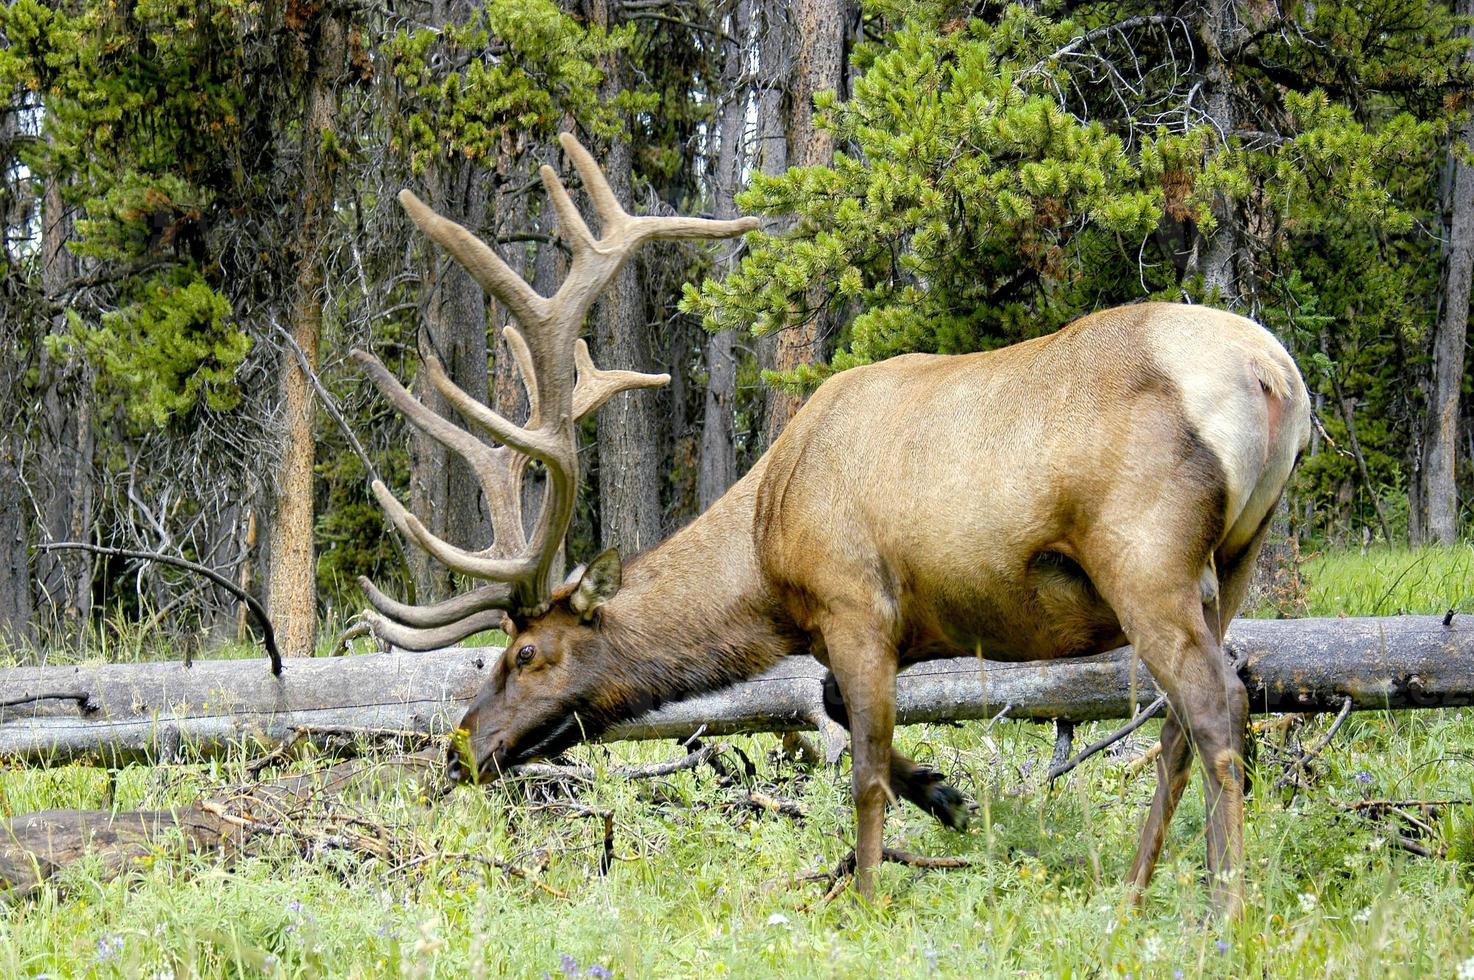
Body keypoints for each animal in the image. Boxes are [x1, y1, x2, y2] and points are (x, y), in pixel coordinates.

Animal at [353, 129, 1314, 919]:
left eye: (524, 654)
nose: (461, 749)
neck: (765, 555)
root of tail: (1275, 375)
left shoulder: (855, 604)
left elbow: (862, 770)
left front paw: (866, 897)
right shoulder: (893, 626)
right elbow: (836, 711)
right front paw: (951, 799)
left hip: (1144, 554)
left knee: (1216, 706)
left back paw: (1222, 911)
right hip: (1235, 557)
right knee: (1183, 721)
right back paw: (1135, 892)